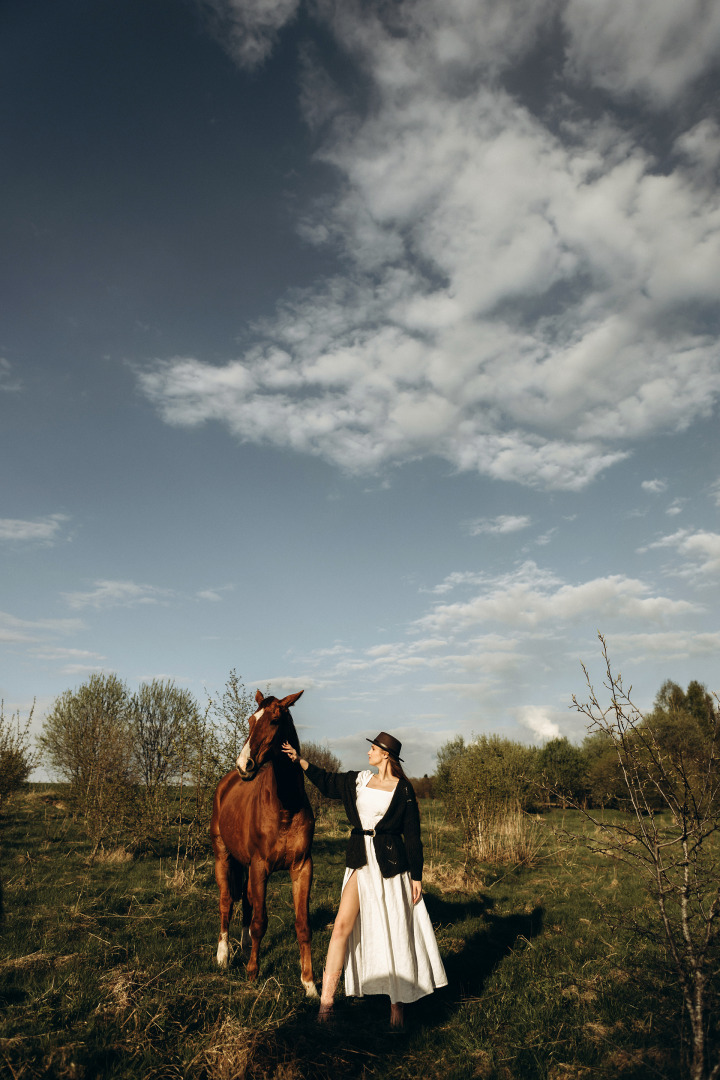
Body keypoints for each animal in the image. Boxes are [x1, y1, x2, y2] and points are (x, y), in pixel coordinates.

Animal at [208, 691, 315, 993]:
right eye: (250, 720)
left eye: (275, 720)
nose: (244, 765)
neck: (285, 806)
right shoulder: (260, 867)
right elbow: (259, 921)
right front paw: (253, 973)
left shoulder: (302, 867)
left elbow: (302, 924)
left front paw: (310, 983)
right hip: (223, 857)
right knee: (226, 901)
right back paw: (223, 955)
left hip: (245, 864)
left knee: (245, 899)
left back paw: (244, 948)